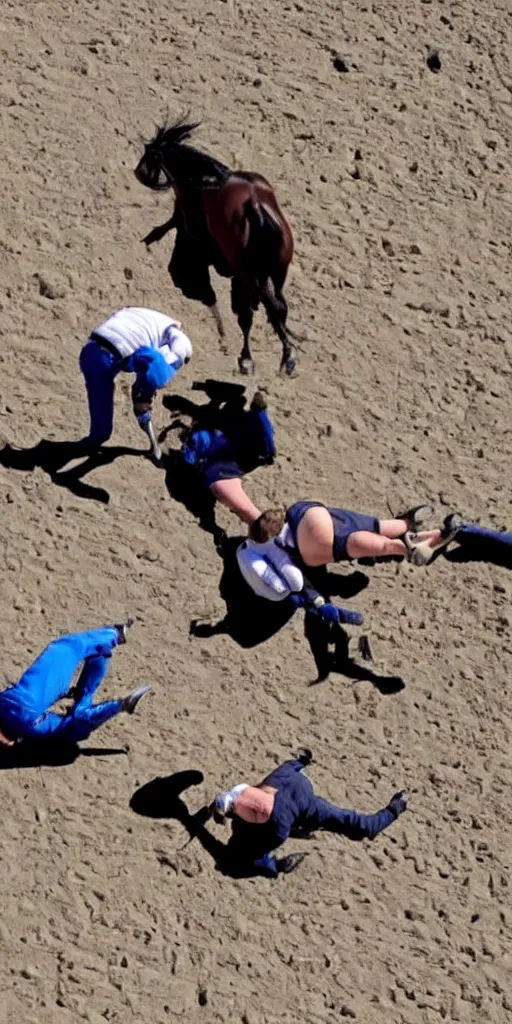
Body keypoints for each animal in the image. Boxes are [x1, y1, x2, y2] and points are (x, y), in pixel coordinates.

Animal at [134, 118, 296, 375]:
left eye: (149, 154)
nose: (138, 172)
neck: (204, 178)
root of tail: (255, 207)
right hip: (277, 272)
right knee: (278, 307)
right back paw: (287, 357)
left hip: (248, 275)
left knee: (250, 313)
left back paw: (247, 357)